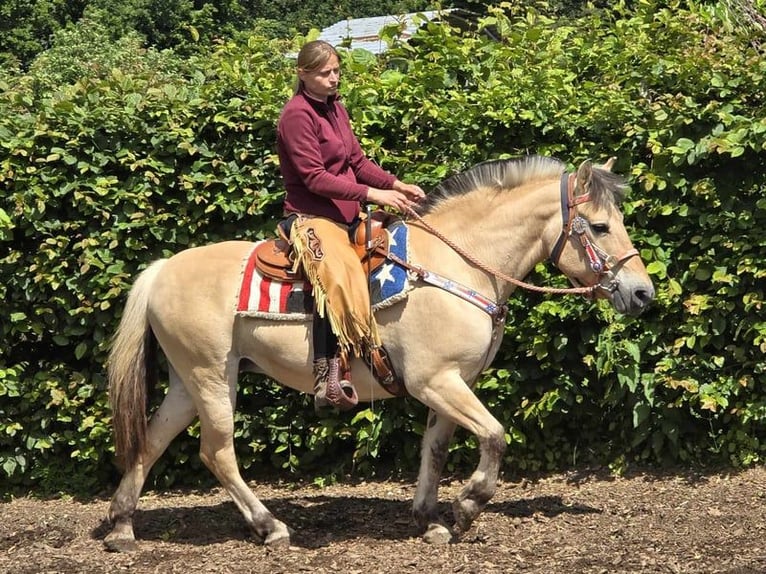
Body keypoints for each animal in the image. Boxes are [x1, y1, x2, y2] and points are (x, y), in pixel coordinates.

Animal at [103, 155, 656, 552]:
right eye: (601, 227)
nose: (643, 293)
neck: (454, 263)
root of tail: (162, 269)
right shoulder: (436, 381)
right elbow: (495, 437)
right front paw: (468, 505)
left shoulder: (453, 384)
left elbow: (435, 449)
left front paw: (429, 519)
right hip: (213, 377)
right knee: (216, 452)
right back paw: (270, 526)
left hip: (187, 381)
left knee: (151, 441)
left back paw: (121, 527)